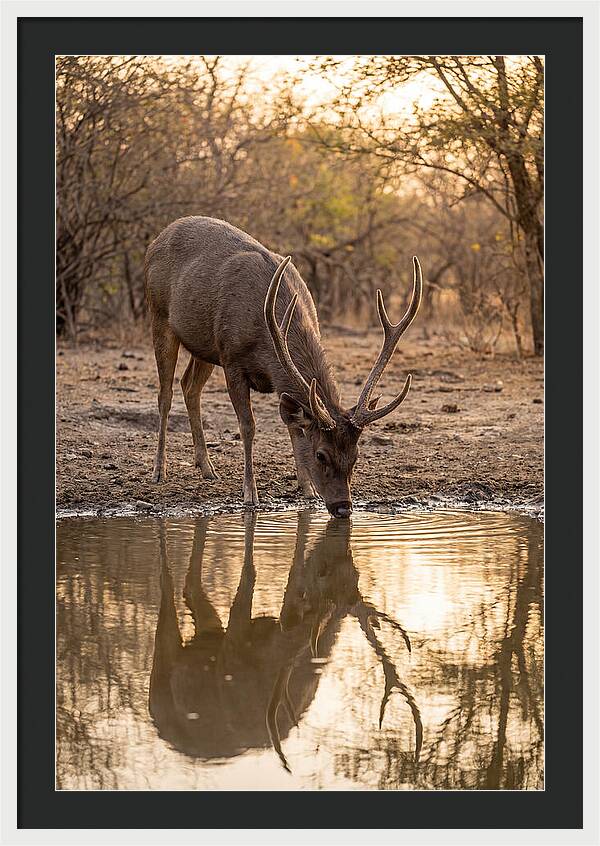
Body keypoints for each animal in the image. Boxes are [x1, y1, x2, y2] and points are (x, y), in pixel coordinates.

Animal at [144, 216, 422, 517]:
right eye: (321, 454)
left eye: (356, 456)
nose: (343, 507)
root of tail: (156, 240)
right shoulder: (232, 359)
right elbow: (248, 426)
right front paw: (250, 495)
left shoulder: (273, 377)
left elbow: (293, 428)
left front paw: (307, 489)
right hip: (159, 315)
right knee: (165, 394)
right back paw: (159, 471)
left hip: (203, 346)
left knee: (189, 386)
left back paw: (207, 468)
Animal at [149, 511, 421, 772]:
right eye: (323, 571)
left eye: (356, 574)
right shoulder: (231, 651)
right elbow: (252, 576)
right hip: (162, 677)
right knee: (167, 601)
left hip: (208, 634)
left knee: (191, 590)